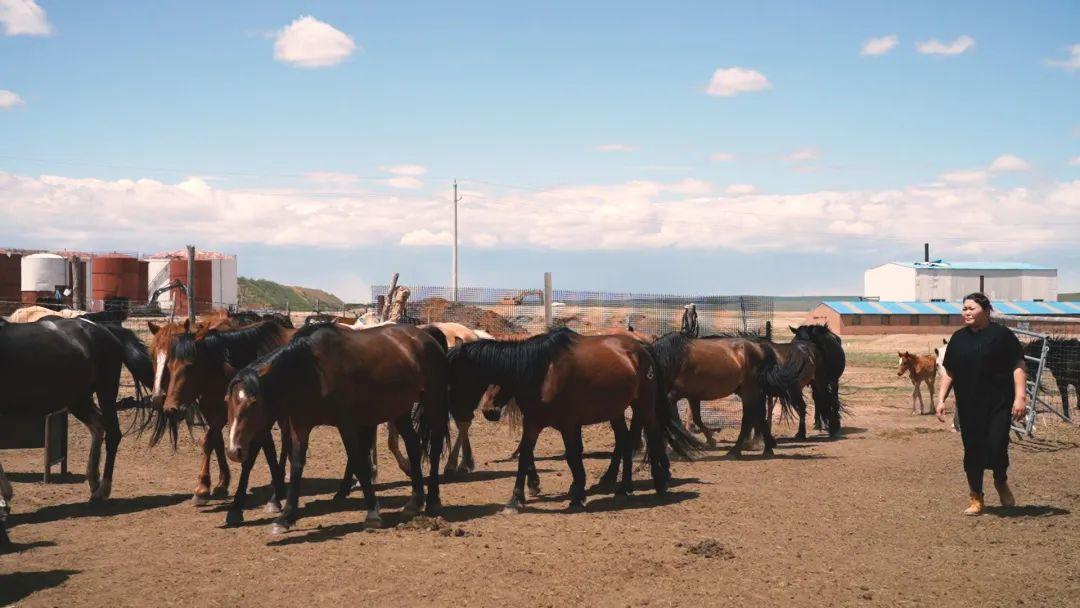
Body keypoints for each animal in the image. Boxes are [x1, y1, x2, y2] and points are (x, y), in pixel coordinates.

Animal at [0, 319, 154, 546]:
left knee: (113, 434)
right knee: (98, 426)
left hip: (105, 390)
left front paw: (5, 498)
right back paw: (93, 481)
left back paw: (102, 490)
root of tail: (104, 329)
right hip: (78, 398)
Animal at [225, 323, 449, 533]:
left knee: (436, 445)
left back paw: (433, 499)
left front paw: (372, 512)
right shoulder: (300, 425)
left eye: (253, 403)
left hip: (433, 400)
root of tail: (424, 335)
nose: (234, 451)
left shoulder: (346, 424)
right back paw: (415, 501)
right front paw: (285, 518)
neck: (311, 371)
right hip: (399, 410)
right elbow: (296, 466)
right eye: (227, 401)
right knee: (413, 445)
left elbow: (358, 461)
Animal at [447, 328, 699, 514]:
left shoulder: (568, 425)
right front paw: (516, 499)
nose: (488, 411)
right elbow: (525, 456)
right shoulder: (533, 423)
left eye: (458, 376)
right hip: (617, 410)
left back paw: (659, 483)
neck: (542, 373)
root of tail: (643, 348)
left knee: (653, 435)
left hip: (642, 405)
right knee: (625, 440)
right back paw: (623, 487)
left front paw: (577, 495)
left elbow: (572, 456)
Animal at [643, 332, 807, 457]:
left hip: (750, 391)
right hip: (748, 392)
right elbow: (696, 418)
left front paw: (688, 445)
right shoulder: (692, 396)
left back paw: (738, 450)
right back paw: (765, 447)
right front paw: (708, 441)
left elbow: (676, 421)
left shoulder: (675, 395)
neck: (673, 359)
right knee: (757, 417)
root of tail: (760, 347)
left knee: (749, 418)